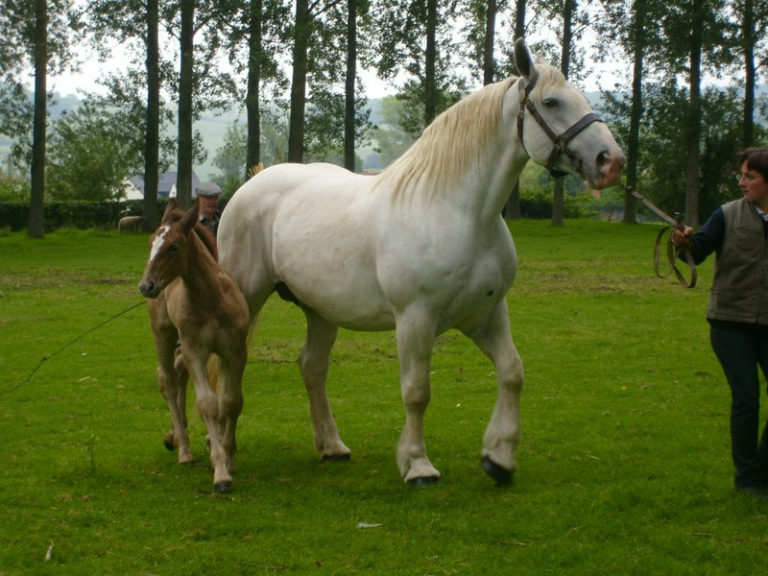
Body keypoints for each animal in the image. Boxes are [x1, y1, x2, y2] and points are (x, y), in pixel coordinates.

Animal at [218, 38, 624, 484]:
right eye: (551, 102)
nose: (611, 161)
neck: (460, 213)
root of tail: (254, 181)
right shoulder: (416, 318)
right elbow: (416, 392)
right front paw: (417, 464)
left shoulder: (486, 314)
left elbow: (512, 373)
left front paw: (498, 458)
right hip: (245, 297)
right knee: (224, 366)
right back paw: (224, 454)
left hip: (320, 309)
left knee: (312, 367)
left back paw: (331, 446)